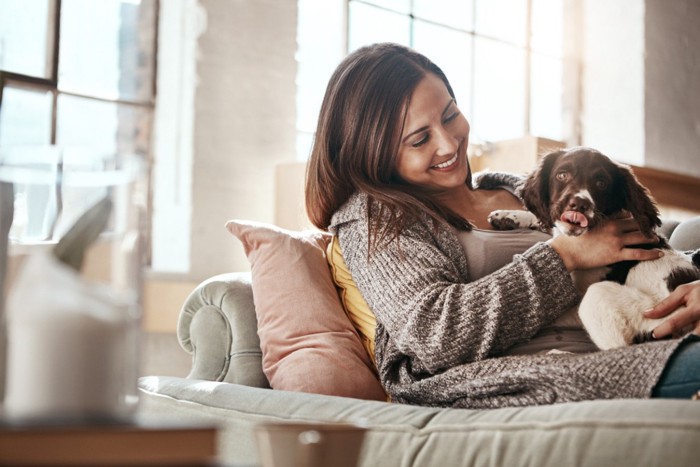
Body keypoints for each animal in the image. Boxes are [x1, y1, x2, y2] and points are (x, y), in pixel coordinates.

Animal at [490, 148, 696, 350]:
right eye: (562, 175)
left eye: (601, 183)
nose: (580, 204)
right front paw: (508, 216)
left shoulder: (579, 299)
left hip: (624, 305)